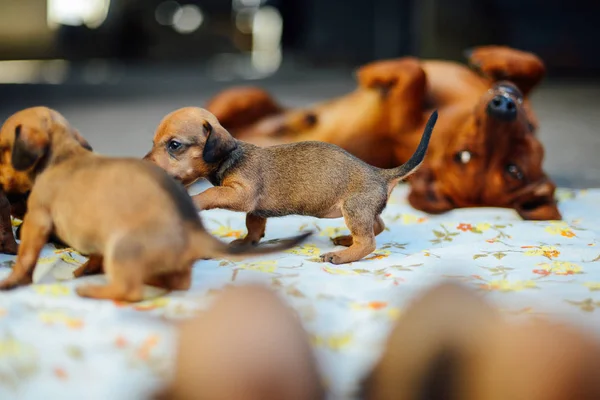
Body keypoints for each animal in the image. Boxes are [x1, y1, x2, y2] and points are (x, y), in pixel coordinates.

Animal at [0, 107, 312, 300]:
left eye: (2, 149)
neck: (65, 155)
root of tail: (192, 233)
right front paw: (87, 267)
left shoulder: (37, 220)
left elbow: (26, 256)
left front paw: (14, 280)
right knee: (176, 282)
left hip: (122, 247)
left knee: (130, 291)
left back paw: (92, 290)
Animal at [144, 106, 436, 264]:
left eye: (174, 145)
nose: (144, 165)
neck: (232, 156)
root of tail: (380, 173)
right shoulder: (256, 210)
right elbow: (253, 227)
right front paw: (247, 243)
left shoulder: (241, 195)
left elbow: (212, 192)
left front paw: (193, 199)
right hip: (361, 211)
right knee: (378, 226)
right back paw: (345, 240)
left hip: (353, 209)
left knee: (369, 243)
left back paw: (342, 255)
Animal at [207, 47, 564, 222]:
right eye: (515, 170)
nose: (503, 105)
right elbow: (535, 65)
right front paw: (491, 56)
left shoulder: (402, 120)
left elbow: (414, 74)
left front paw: (377, 73)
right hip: (245, 94)